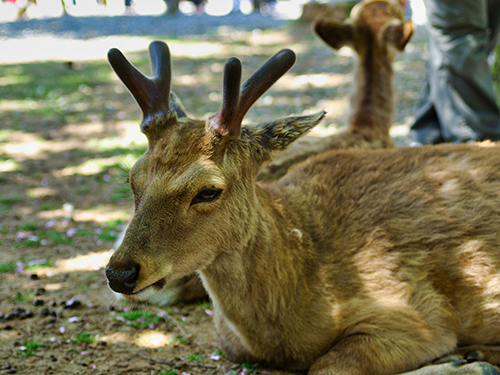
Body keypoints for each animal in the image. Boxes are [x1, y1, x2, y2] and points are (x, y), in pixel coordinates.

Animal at [105, 39, 500, 374]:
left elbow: (326, 366)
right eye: (132, 178)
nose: (119, 273)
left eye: (208, 191)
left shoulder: (413, 311)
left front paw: (460, 363)